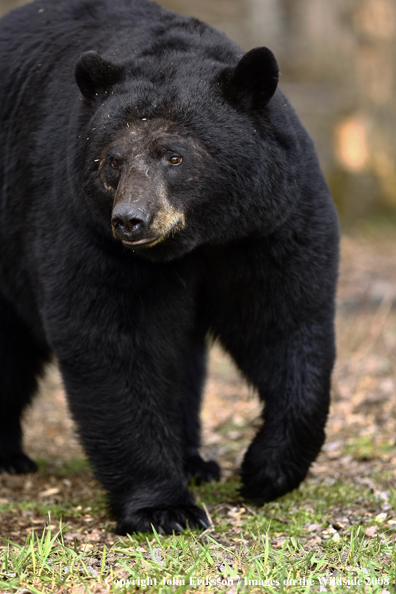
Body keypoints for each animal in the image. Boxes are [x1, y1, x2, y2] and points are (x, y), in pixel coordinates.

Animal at [0, 0, 338, 532]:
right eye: (111, 161)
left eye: (174, 157)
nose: (130, 220)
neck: (199, 239)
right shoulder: (84, 227)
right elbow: (114, 340)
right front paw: (164, 507)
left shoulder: (271, 224)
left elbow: (283, 321)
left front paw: (266, 472)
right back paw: (11, 456)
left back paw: (195, 461)